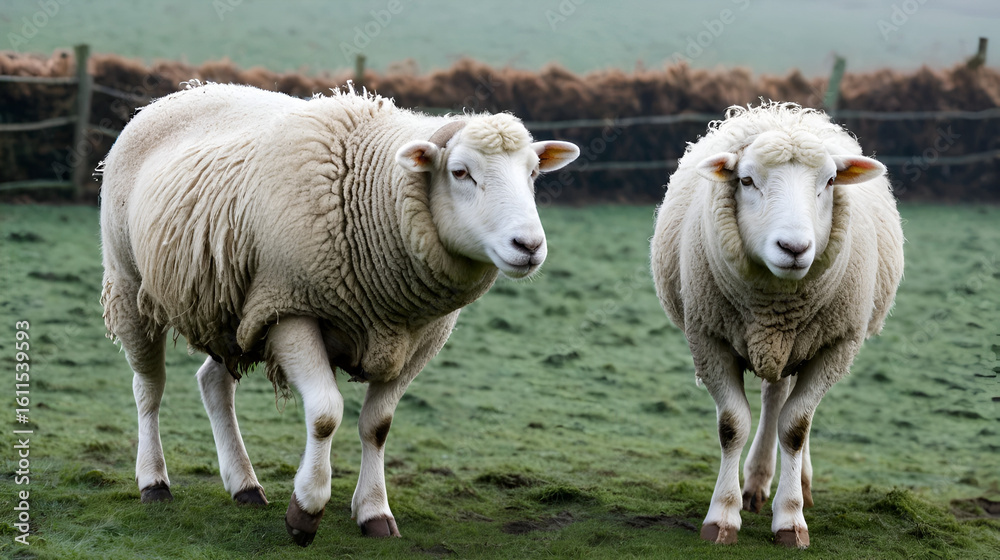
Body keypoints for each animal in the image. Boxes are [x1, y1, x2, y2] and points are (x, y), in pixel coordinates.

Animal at [99, 82, 579, 546]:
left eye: (532, 173)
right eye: (461, 172)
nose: (529, 246)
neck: (374, 194)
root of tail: (172, 95)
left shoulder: (419, 337)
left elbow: (378, 426)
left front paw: (374, 512)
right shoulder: (287, 307)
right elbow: (326, 414)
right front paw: (306, 512)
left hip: (230, 311)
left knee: (213, 383)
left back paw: (245, 486)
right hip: (128, 281)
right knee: (149, 388)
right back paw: (154, 482)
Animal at [650, 102, 903, 548]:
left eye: (830, 181)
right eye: (747, 180)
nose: (794, 248)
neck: (775, 308)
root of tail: (785, 112)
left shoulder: (836, 347)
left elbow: (796, 428)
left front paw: (790, 519)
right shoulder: (708, 339)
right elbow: (733, 425)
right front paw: (723, 516)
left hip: (805, 343)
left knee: (788, 409)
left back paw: (798, 483)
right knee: (774, 397)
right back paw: (755, 484)